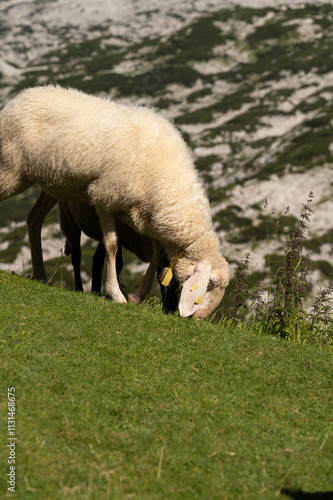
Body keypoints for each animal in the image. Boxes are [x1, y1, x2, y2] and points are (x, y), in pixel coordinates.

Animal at [0, 85, 228, 320]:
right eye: (211, 283)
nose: (201, 318)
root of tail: (24, 95)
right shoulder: (106, 199)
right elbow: (111, 246)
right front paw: (115, 294)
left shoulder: (146, 218)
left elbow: (157, 256)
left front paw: (137, 295)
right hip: (11, 169)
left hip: (52, 184)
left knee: (34, 220)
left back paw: (40, 274)